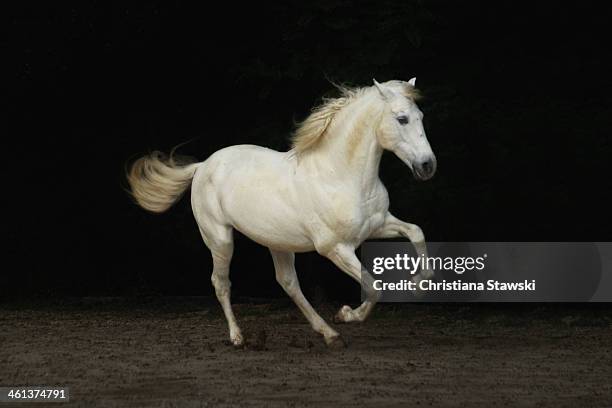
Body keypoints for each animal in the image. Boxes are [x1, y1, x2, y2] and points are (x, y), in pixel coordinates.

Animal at [128, 79, 436, 348]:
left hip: (277, 242)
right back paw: (238, 337)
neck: (339, 175)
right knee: (221, 283)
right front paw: (347, 314)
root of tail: (202, 165)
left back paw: (330, 335)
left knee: (288, 283)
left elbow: (417, 232)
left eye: (421, 116)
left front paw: (417, 284)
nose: (427, 166)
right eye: (402, 119)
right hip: (219, 239)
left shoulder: (377, 225)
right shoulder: (335, 248)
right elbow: (374, 287)